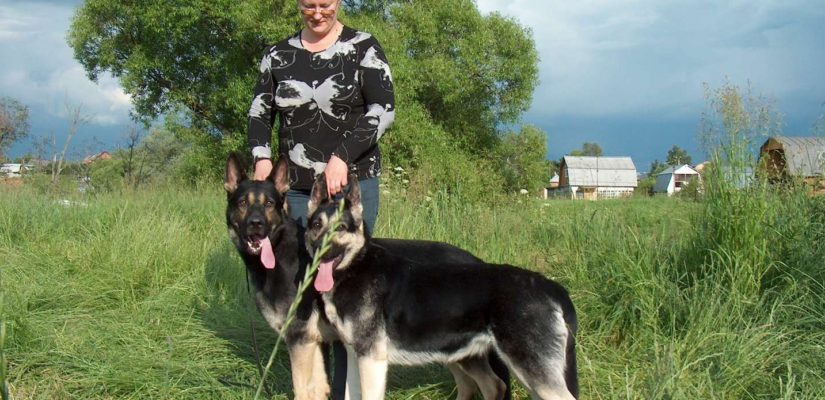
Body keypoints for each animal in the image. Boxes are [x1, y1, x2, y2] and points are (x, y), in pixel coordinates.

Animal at [224, 155, 512, 400]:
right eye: (242, 203)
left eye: (269, 204)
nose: (256, 225)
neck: (281, 252)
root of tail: (478, 262)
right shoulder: (313, 343)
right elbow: (319, 389)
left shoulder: (301, 342)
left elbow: (303, 391)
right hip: (450, 350)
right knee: (476, 385)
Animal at [305, 174, 579, 400]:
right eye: (317, 225)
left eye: (341, 228)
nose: (321, 253)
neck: (356, 267)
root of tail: (550, 286)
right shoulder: (355, 357)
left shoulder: (371, 361)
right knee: (493, 386)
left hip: (533, 373)